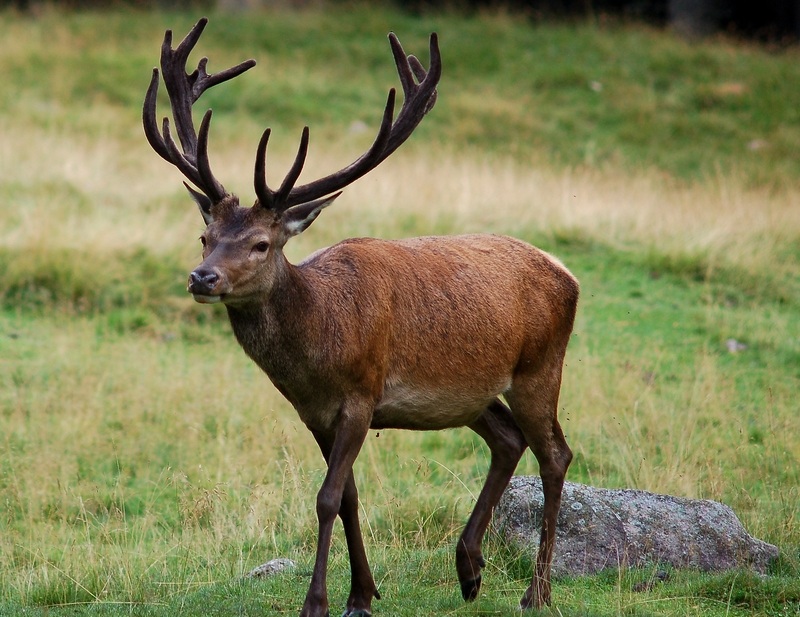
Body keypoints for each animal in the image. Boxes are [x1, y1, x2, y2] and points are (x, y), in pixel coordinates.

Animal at [143, 18, 578, 617]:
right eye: (205, 236)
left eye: (260, 244)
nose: (201, 278)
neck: (319, 348)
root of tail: (568, 275)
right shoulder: (313, 412)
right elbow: (348, 496)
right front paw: (362, 594)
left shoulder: (362, 393)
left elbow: (326, 497)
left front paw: (317, 602)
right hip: (473, 392)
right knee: (508, 440)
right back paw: (469, 568)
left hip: (540, 366)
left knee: (556, 454)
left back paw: (536, 592)